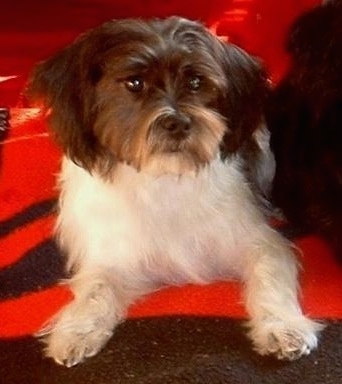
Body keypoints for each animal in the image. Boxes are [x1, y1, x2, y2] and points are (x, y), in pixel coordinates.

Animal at [26, 17, 320, 366]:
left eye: (195, 82)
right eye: (134, 83)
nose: (178, 123)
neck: (164, 176)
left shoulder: (257, 241)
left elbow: (269, 275)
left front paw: (283, 327)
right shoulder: (110, 255)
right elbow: (97, 287)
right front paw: (76, 331)